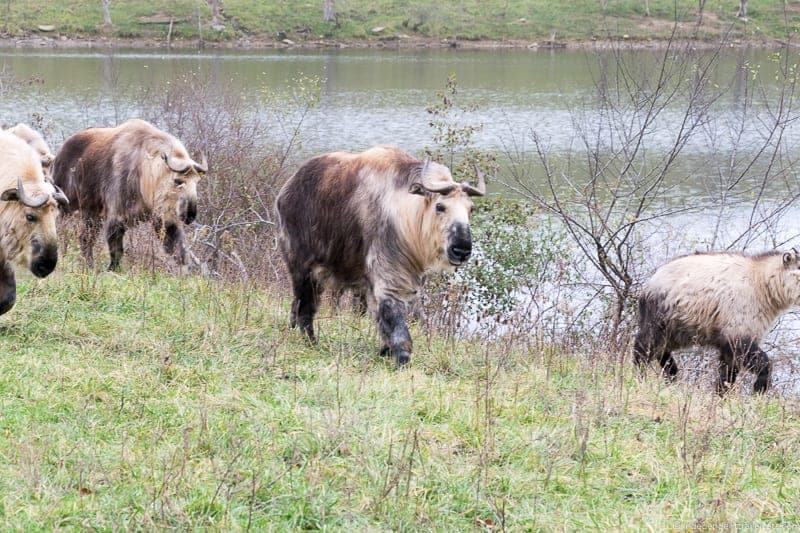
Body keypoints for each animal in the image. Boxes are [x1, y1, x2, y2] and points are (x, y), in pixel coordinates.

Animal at [278, 143, 484, 364]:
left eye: (471, 209)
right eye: (440, 206)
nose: (462, 250)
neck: (406, 209)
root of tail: (287, 188)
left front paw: (385, 351)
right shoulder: (389, 274)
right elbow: (393, 316)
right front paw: (402, 356)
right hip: (302, 267)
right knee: (305, 306)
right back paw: (310, 341)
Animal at [636, 248, 800, 390]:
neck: (762, 284)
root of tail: (649, 284)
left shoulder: (729, 340)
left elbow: (728, 373)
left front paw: (721, 395)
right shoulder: (738, 329)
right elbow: (762, 363)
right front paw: (759, 388)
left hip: (678, 330)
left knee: (662, 351)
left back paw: (672, 375)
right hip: (661, 320)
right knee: (644, 346)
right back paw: (639, 374)